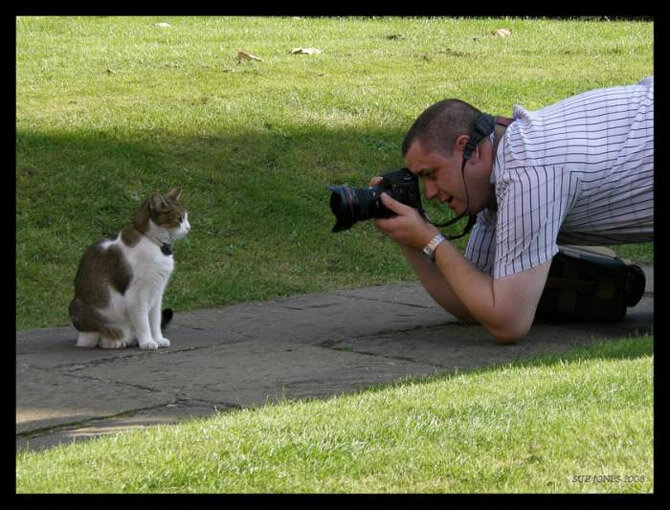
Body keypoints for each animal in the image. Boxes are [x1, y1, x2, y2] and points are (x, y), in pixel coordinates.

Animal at [70, 187, 190, 350]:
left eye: (187, 218)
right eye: (179, 219)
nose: (189, 228)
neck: (154, 243)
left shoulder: (157, 292)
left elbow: (155, 320)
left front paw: (158, 339)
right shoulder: (137, 295)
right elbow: (143, 321)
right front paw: (147, 342)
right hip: (79, 309)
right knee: (94, 338)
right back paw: (116, 341)